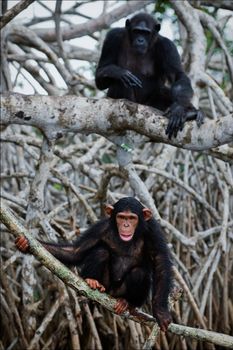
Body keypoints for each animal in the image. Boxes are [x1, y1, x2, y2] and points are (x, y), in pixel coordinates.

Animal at [15, 197, 173, 330]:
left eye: (132, 218)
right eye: (121, 217)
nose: (126, 225)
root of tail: (111, 293)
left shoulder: (153, 230)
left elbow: (160, 262)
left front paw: (160, 312)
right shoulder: (100, 228)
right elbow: (76, 251)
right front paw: (25, 244)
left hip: (121, 292)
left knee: (139, 273)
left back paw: (127, 303)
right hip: (106, 285)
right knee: (100, 252)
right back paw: (93, 281)